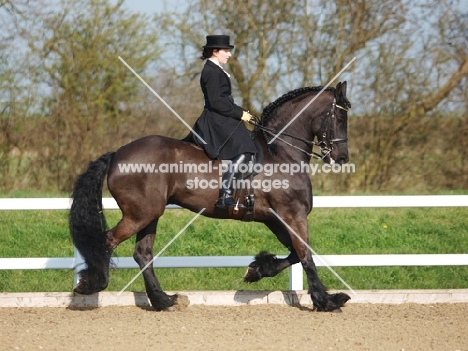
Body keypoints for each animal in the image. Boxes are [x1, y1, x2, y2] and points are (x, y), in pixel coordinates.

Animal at [70, 82, 352, 314]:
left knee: (142, 254)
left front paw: (257, 270)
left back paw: (164, 300)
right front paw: (327, 301)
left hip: (150, 215)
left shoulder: (275, 218)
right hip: (140, 214)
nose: (341, 159)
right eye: (339, 117)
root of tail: (117, 154)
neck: (281, 151)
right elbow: (306, 255)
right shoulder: (292, 214)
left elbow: (295, 253)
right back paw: (92, 285)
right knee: (108, 241)